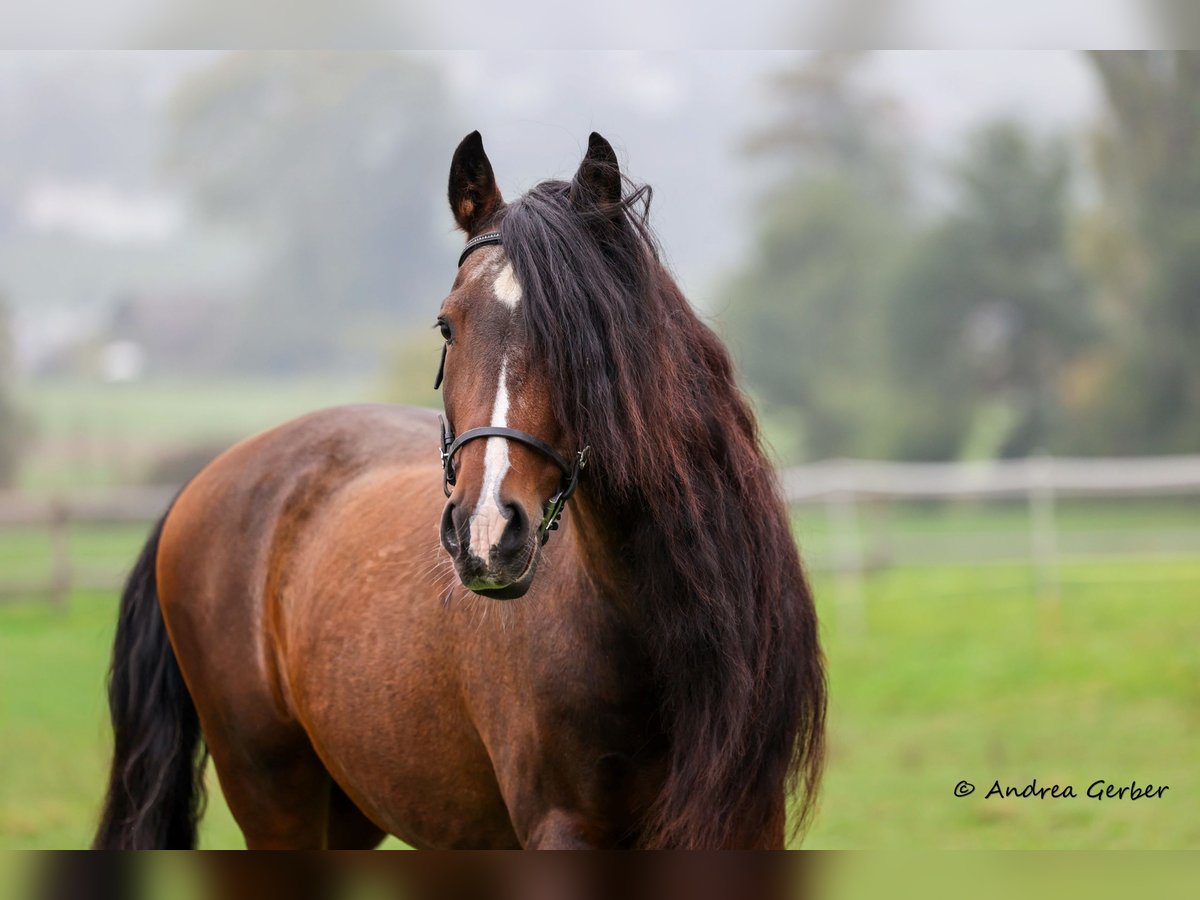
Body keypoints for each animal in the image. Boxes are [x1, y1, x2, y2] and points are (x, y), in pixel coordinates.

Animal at [92, 131, 826, 850]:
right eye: (447, 325)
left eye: (583, 326)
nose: (485, 534)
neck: (656, 637)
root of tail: (205, 480)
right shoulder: (564, 829)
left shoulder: (748, 823)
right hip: (272, 795)